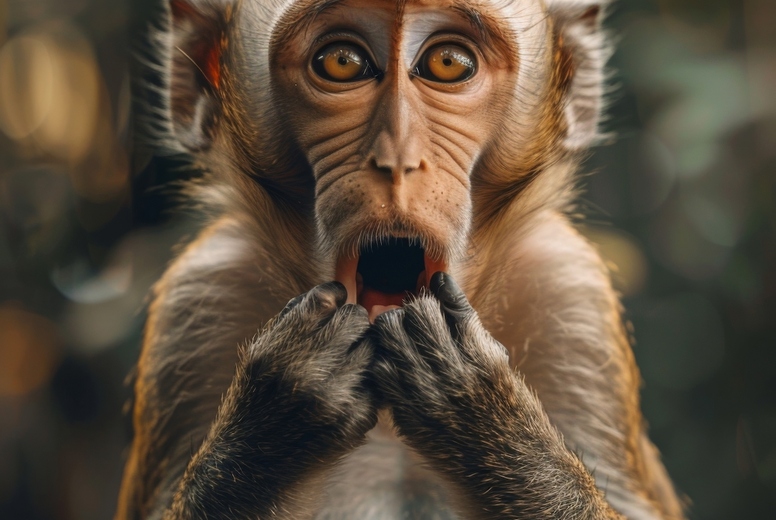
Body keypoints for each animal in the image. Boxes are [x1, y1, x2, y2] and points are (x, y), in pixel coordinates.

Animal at [116, 0, 686, 518]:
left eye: (448, 62)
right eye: (342, 61)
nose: (397, 161)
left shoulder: (570, 294)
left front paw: (480, 409)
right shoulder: (197, 301)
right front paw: (277, 414)